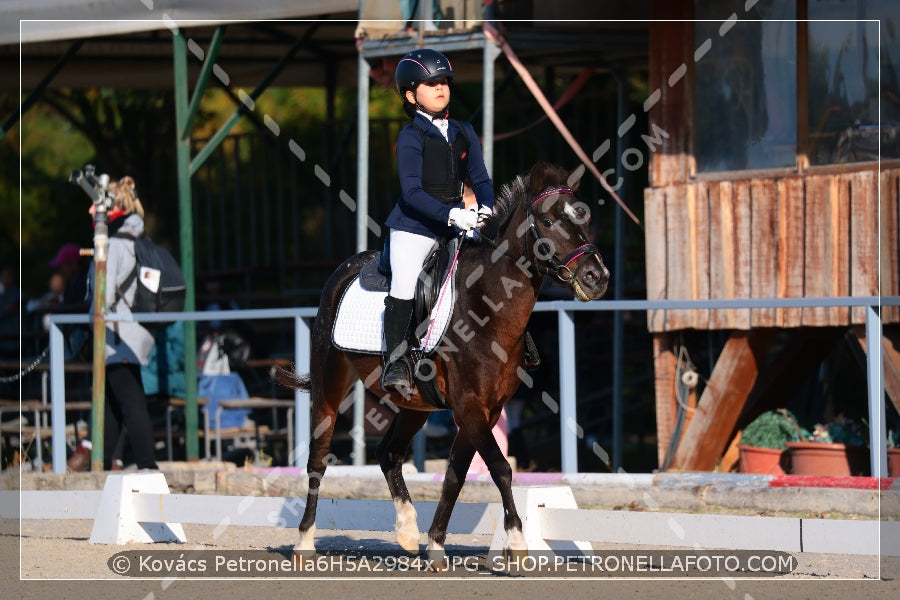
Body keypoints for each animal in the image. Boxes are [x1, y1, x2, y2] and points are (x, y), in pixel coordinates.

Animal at [276, 161, 612, 556]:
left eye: (584, 218)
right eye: (547, 222)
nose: (597, 277)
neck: (486, 304)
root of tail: (345, 268)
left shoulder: (487, 409)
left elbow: (456, 474)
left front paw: (436, 544)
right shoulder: (469, 406)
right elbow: (500, 468)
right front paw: (516, 540)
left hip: (414, 405)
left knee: (389, 454)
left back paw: (407, 531)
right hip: (329, 387)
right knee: (318, 458)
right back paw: (304, 541)